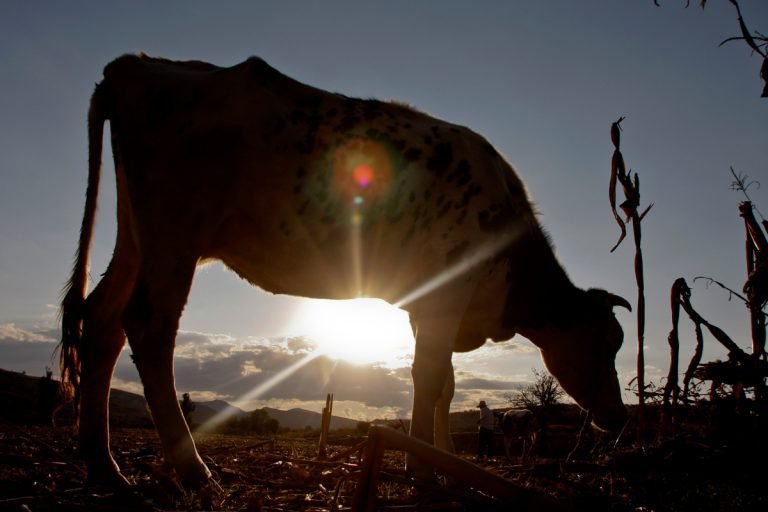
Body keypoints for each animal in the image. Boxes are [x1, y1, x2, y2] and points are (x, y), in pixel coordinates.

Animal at [58, 54, 624, 486]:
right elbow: (430, 377)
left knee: (102, 321)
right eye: (604, 343)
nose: (618, 418)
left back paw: (104, 464)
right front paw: (424, 468)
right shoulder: (446, 293)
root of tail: (136, 64)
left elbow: (442, 384)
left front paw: (443, 457)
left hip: (138, 237)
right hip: (176, 234)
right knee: (149, 327)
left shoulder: (428, 305)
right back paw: (193, 469)